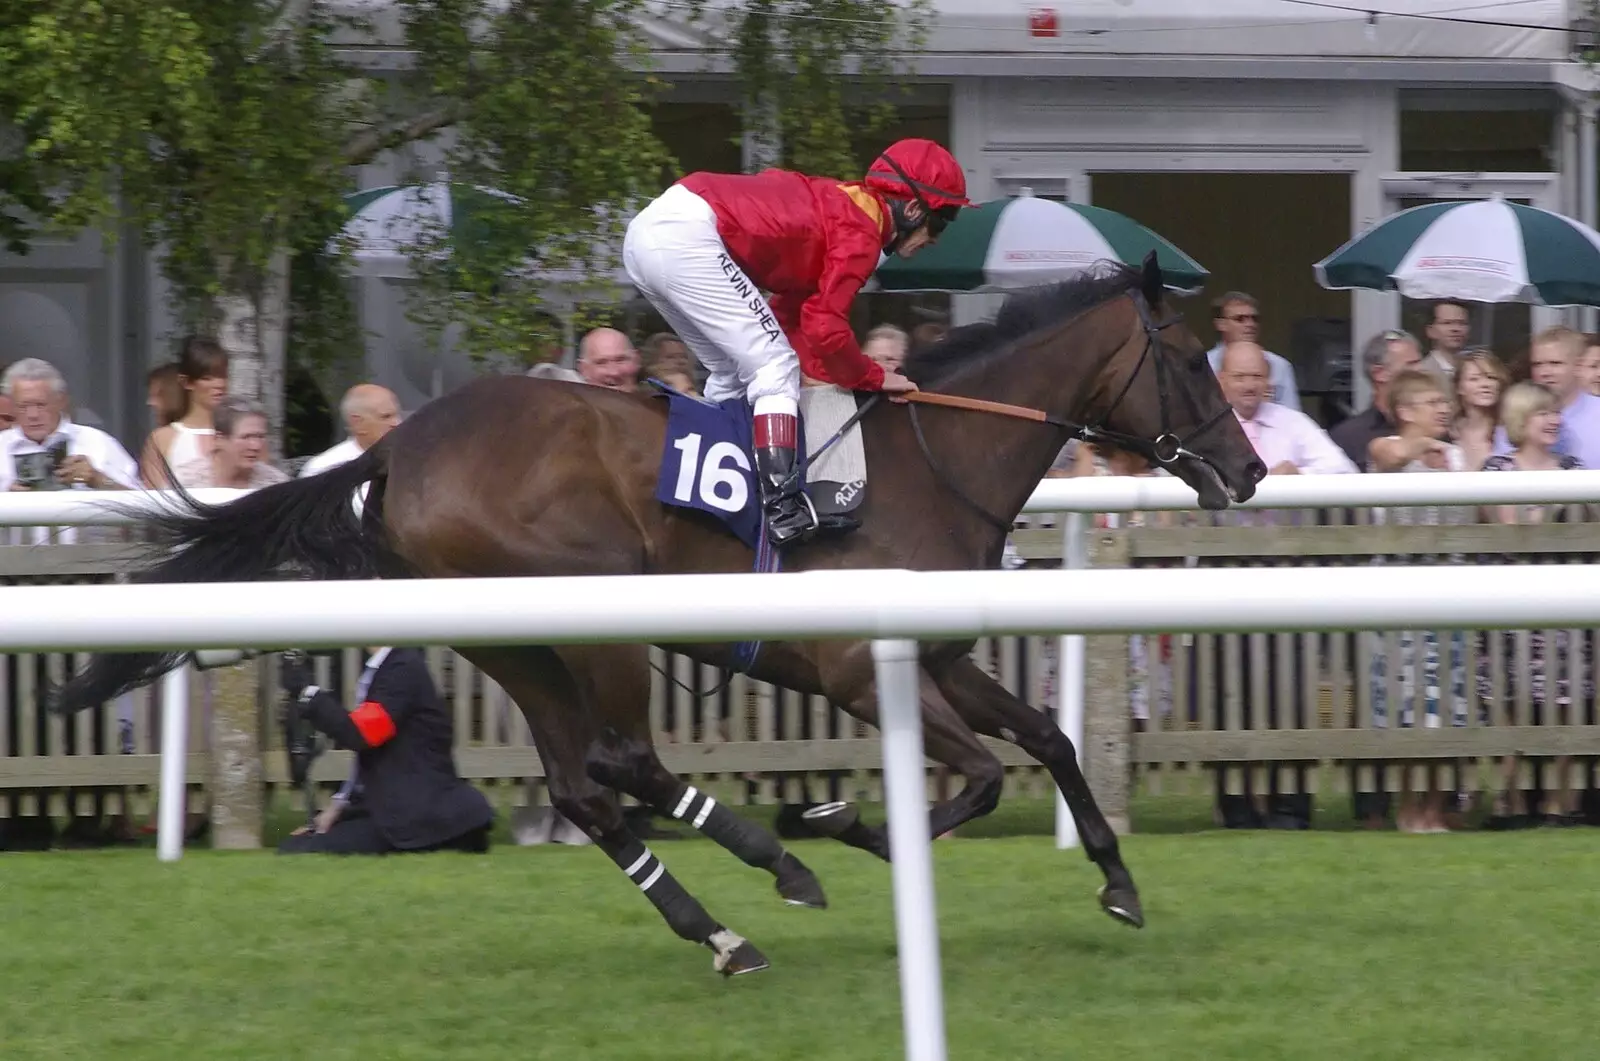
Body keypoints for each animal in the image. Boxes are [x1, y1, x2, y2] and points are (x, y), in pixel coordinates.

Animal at [59, 256, 1260, 979]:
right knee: (624, 758)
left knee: (585, 786)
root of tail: (398, 443)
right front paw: (848, 822)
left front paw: (1117, 882)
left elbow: (1048, 738)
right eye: (1189, 359)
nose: (1248, 468)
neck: (934, 459)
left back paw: (722, 929)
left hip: (513, 641)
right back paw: (777, 862)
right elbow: (974, 776)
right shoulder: (856, 667)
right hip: (594, 614)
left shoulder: (940, 653)